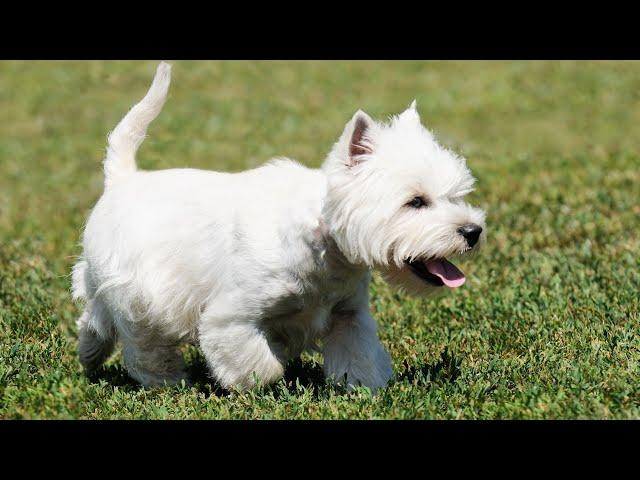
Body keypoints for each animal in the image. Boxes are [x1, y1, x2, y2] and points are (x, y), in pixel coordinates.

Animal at [72, 62, 484, 392]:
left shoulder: (348, 315)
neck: (324, 244)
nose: (472, 232)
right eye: (415, 201)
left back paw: (90, 353)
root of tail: (123, 180)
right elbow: (258, 363)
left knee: (93, 318)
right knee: (141, 343)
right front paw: (256, 384)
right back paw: (166, 379)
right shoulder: (231, 315)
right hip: (138, 294)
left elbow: (359, 356)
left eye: (456, 195)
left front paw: (365, 388)